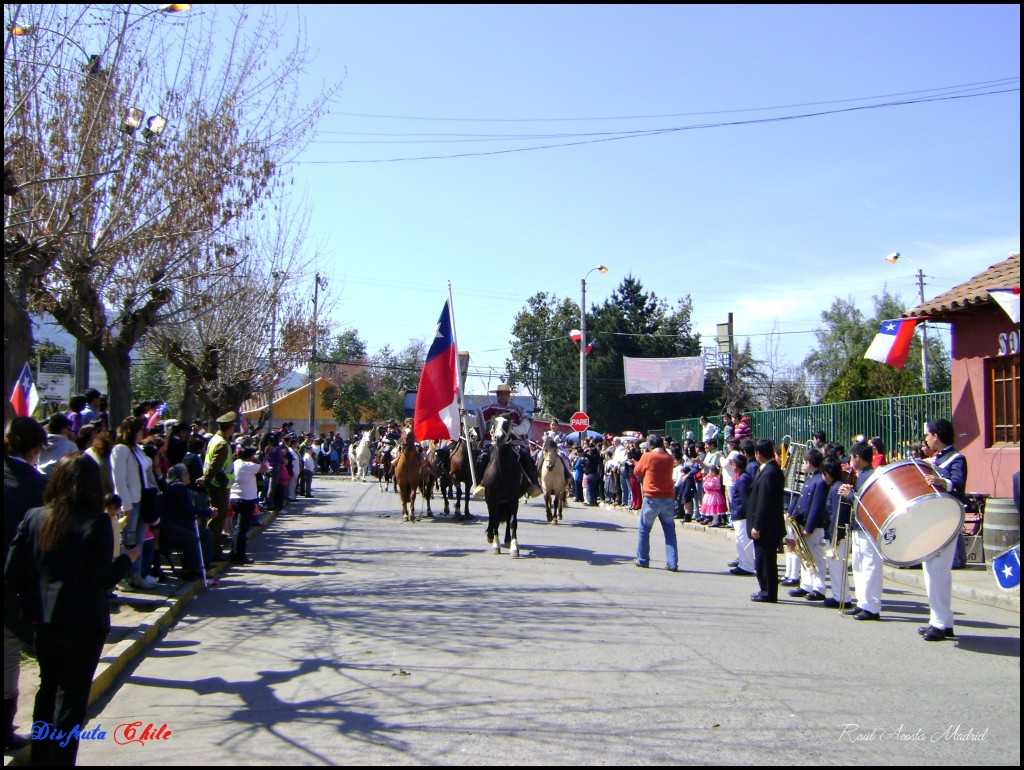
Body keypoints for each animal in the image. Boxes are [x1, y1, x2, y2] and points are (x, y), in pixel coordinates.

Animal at [483, 415, 524, 552]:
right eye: (494, 423)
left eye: (507, 423)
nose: (499, 437)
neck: (502, 471)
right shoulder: (492, 498)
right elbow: (494, 519)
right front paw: (496, 544)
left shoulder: (513, 498)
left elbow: (512, 522)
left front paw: (514, 546)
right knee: (492, 516)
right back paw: (490, 535)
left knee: (506, 518)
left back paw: (507, 540)